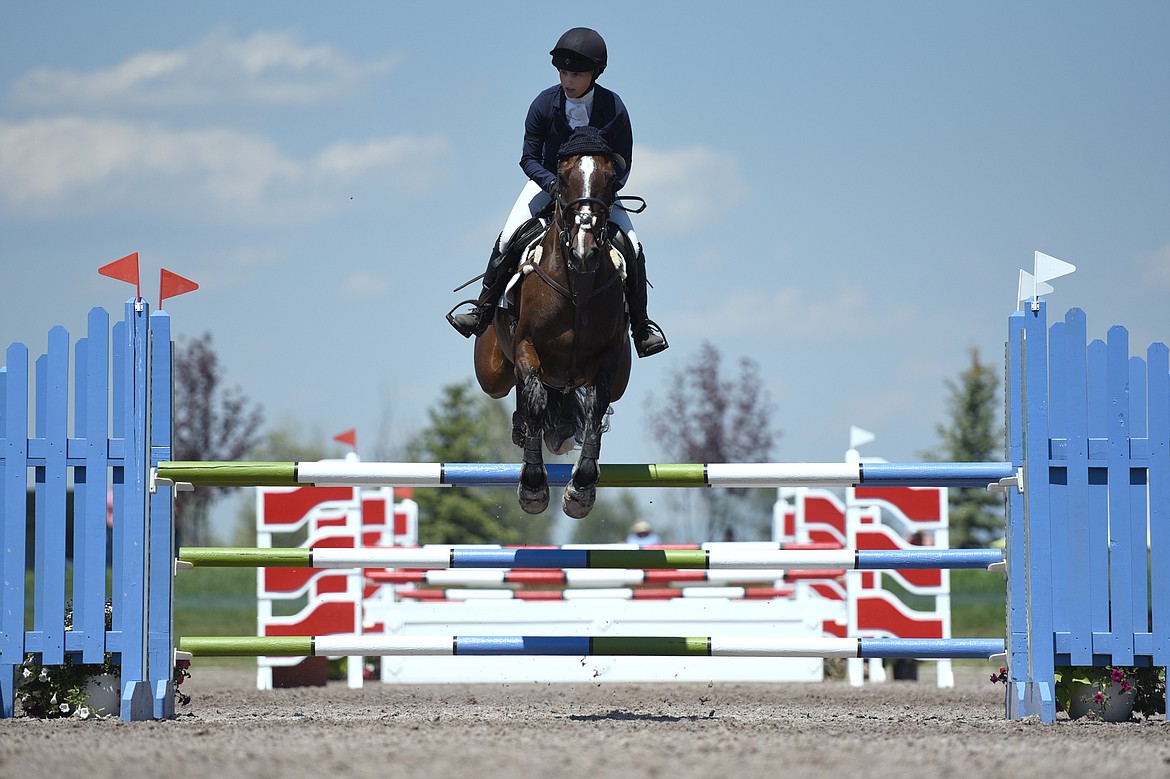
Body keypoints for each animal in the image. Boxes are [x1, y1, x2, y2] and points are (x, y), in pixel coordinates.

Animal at [472, 127, 631, 514]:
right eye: (562, 177)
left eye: (610, 179)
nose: (584, 250)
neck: (578, 284)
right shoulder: (527, 346)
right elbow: (535, 398)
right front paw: (532, 487)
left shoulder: (608, 359)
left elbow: (596, 405)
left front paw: (581, 489)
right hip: (491, 374)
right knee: (518, 386)